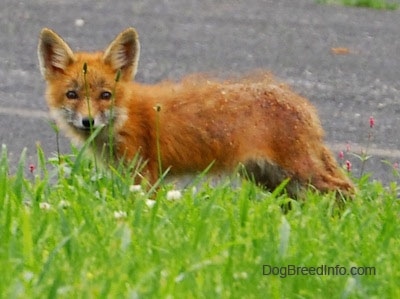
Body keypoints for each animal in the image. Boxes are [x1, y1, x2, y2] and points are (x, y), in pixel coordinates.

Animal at [37, 27, 354, 198]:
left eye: (105, 96)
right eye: (72, 95)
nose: (88, 121)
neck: (126, 117)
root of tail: (301, 102)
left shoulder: (146, 175)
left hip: (298, 172)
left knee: (347, 190)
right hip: (270, 179)